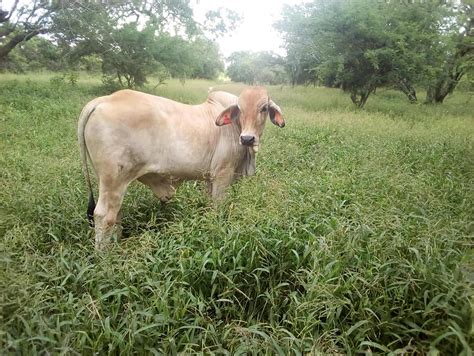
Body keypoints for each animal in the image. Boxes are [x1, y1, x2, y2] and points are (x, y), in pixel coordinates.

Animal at [78, 86, 286, 249]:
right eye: (240, 109)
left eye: (264, 108)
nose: (247, 138)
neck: (234, 127)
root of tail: (102, 100)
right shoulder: (222, 175)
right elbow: (218, 207)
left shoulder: (209, 178)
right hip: (113, 179)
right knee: (103, 216)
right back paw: (105, 256)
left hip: (111, 182)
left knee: (115, 215)